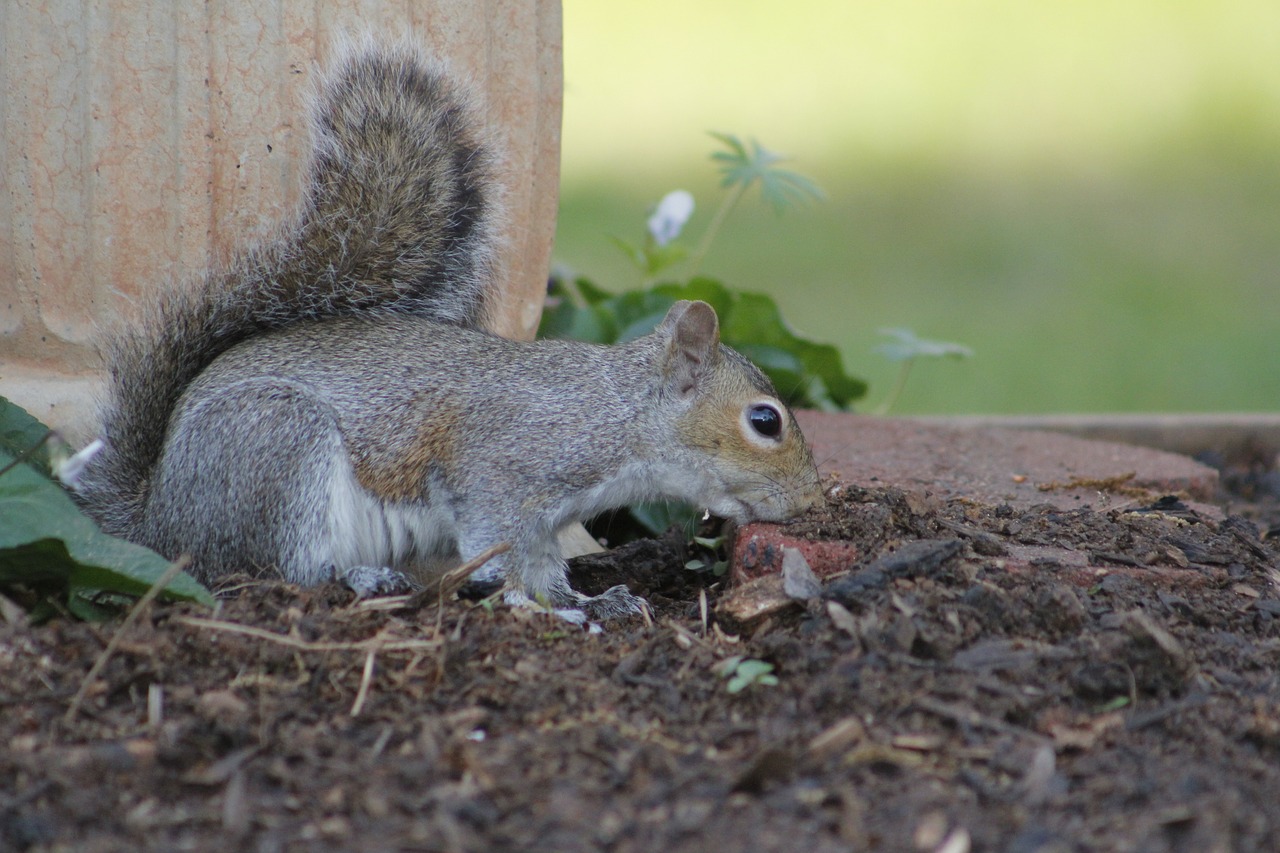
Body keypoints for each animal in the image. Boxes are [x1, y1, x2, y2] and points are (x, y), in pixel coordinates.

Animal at [70, 41, 824, 617]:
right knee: (272, 568)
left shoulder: (544, 516)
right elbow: (510, 552)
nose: (815, 498)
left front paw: (594, 601)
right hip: (276, 450)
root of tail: (158, 515)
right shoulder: (502, 471)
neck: (614, 414)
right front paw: (552, 608)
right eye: (765, 421)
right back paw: (361, 577)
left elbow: (541, 562)